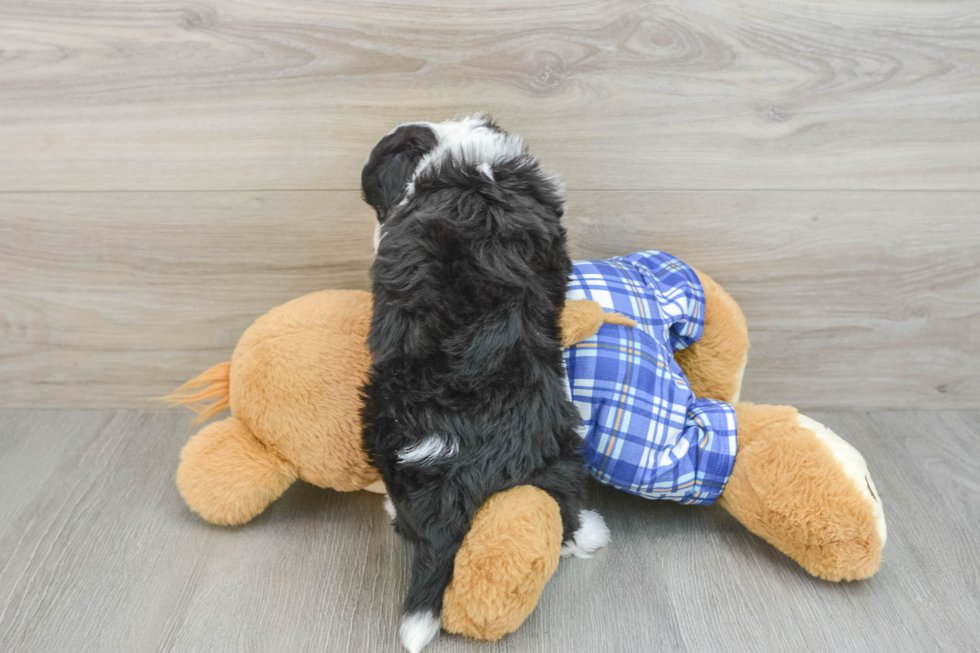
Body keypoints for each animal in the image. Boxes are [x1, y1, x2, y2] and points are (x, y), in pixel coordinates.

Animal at [360, 114, 604, 648]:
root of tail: (460, 463)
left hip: (379, 427)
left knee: (408, 514)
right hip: (561, 445)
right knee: (562, 505)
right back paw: (589, 534)